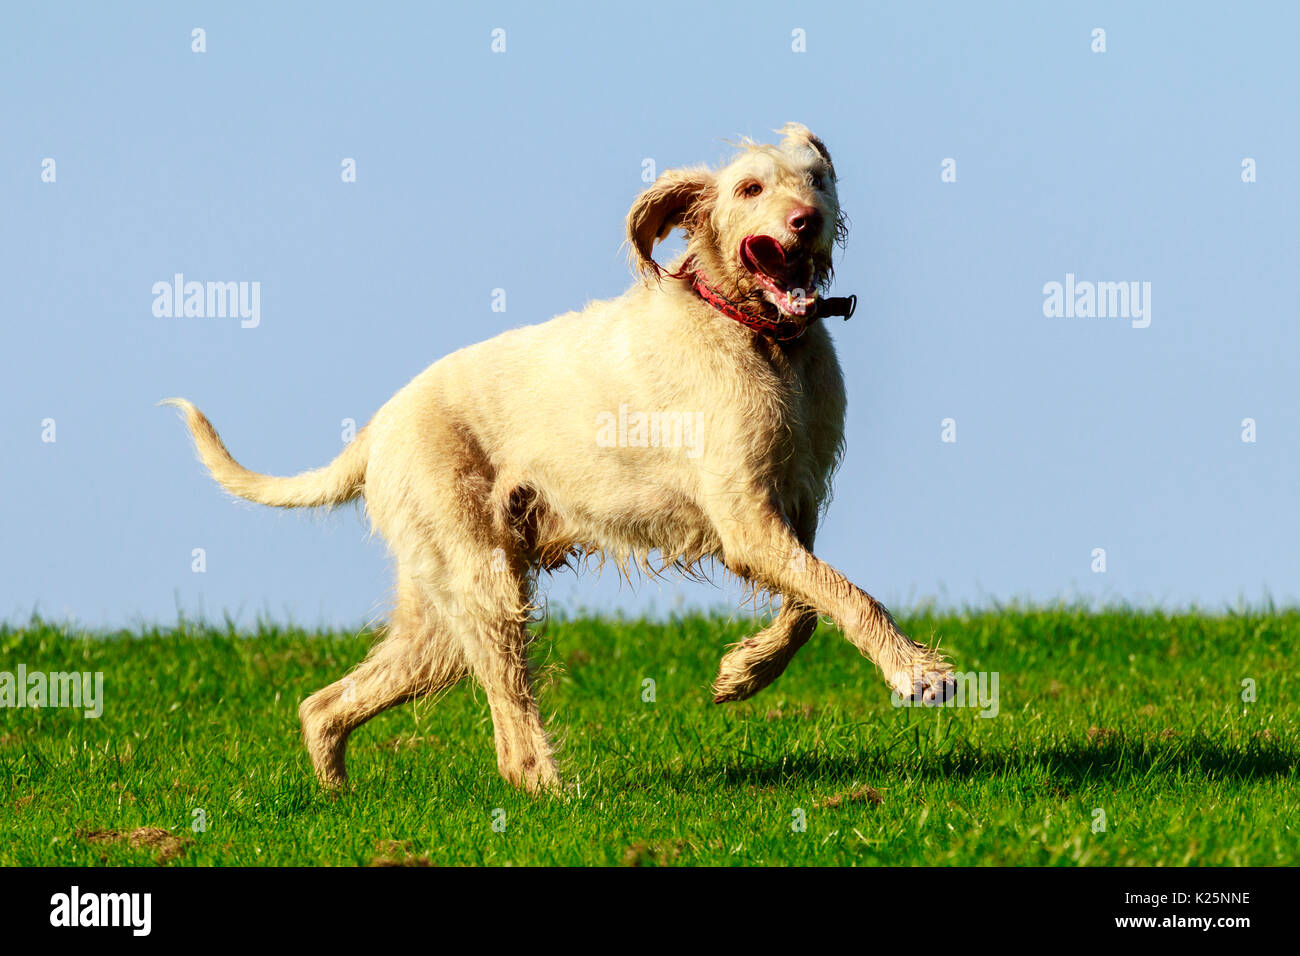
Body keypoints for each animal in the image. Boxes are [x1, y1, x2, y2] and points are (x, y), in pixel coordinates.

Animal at [165, 123, 956, 790]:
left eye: (816, 178)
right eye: (750, 189)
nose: (806, 221)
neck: (755, 333)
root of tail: (378, 426)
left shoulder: (791, 509)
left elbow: (809, 608)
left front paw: (745, 672)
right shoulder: (745, 522)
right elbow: (849, 596)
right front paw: (916, 672)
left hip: (437, 618)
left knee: (326, 703)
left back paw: (336, 793)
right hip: (483, 582)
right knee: (508, 721)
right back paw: (551, 790)